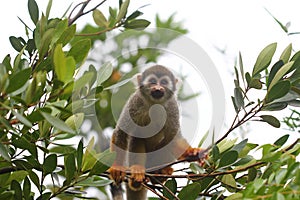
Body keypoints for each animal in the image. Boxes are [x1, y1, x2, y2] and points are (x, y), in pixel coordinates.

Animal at [109, 65, 203, 199]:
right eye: (153, 81)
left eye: (163, 82)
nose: (158, 88)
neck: (155, 104)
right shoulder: (135, 102)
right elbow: (121, 133)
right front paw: (117, 167)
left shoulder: (172, 106)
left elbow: (174, 139)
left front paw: (192, 152)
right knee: (136, 137)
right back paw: (137, 172)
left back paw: (160, 173)